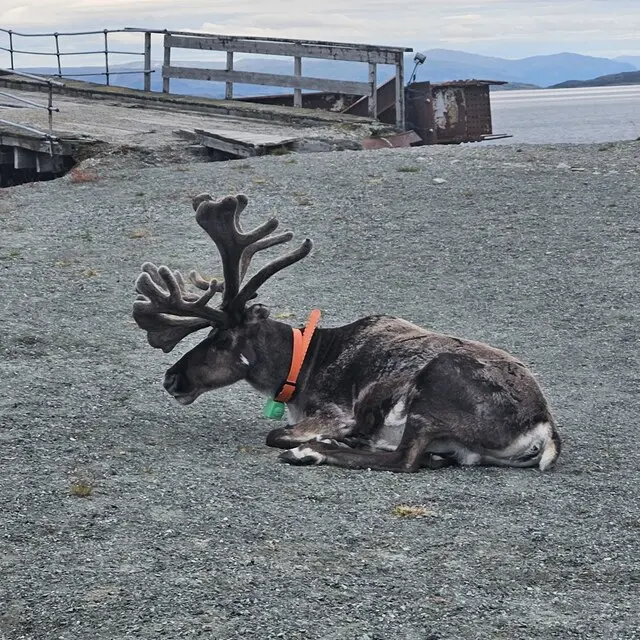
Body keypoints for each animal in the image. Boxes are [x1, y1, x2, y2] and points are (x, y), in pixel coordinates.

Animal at [133, 193, 561, 473]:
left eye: (221, 340)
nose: (171, 378)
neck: (302, 366)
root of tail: (543, 425)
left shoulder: (333, 412)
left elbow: (278, 433)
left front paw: (317, 442)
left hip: (434, 389)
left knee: (405, 459)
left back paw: (315, 451)